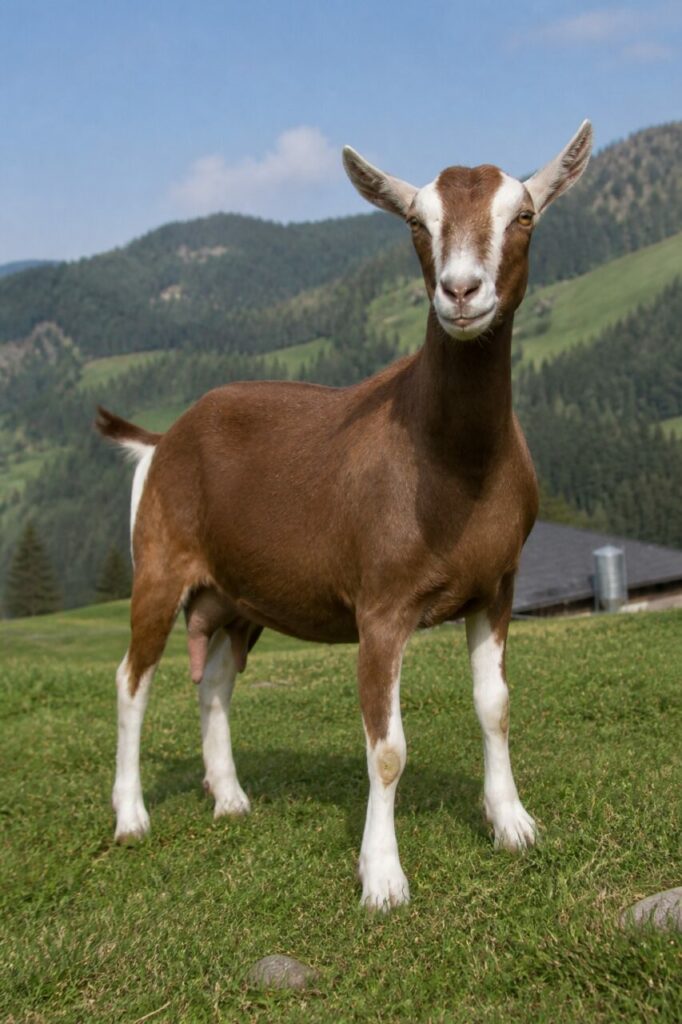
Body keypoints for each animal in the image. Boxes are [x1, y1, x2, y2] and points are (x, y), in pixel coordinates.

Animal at [97, 121, 592, 910]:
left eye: (524, 216)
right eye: (417, 224)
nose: (461, 291)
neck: (452, 463)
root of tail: (161, 437)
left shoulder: (498, 585)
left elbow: (496, 705)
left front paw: (513, 822)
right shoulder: (381, 604)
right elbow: (387, 749)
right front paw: (383, 878)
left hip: (235, 596)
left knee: (215, 680)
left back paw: (229, 797)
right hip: (160, 561)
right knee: (131, 680)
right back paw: (131, 816)